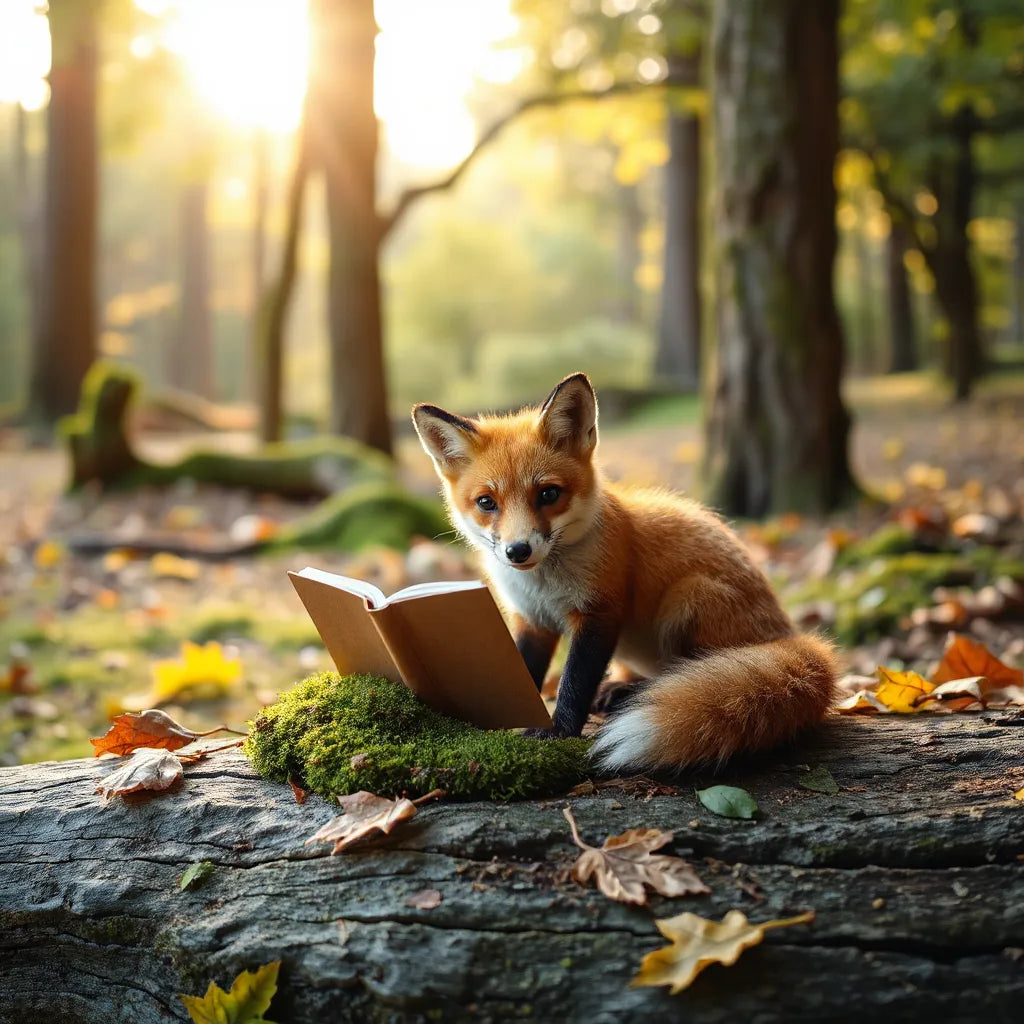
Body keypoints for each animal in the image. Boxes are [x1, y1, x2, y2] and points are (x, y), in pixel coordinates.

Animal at [411, 372, 837, 771]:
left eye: (548, 494)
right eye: (487, 502)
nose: (518, 551)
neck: (543, 584)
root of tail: (787, 633)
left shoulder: (600, 611)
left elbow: (574, 683)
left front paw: (557, 731)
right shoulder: (533, 619)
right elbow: (524, 670)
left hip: (688, 598)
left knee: (688, 672)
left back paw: (637, 695)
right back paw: (621, 689)